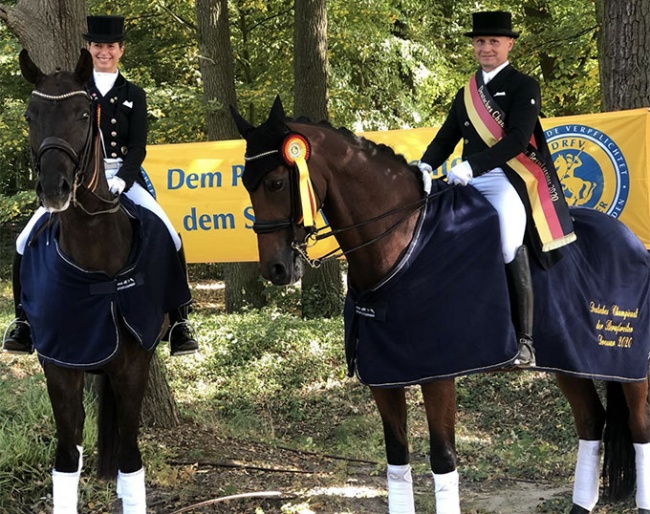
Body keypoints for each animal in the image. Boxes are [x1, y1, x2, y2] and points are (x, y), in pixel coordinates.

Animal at [230, 97, 648, 512]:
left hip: (630, 364)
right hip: (569, 361)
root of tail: (632, 240)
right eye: (246, 184)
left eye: (276, 183)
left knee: (640, 428)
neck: (403, 240)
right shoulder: (384, 374)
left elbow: (443, 458)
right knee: (591, 421)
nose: (276, 269)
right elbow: (397, 457)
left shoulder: (439, 374)